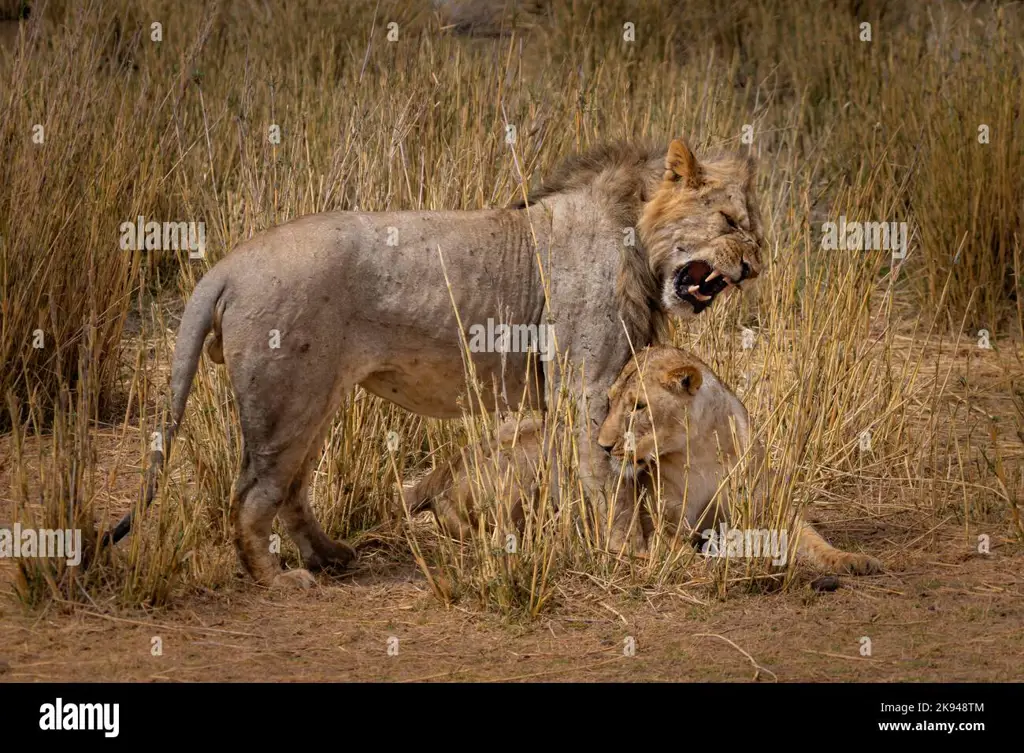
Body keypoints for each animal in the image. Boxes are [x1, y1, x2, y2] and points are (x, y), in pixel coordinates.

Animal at [112, 138, 765, 590]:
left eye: (753, 229)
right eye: (730, 223)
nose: (755, 267)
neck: (636, 233)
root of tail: (227, 266)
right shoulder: (587, 382)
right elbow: (609, 477)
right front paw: (628, 553)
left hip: (315, 399)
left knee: (292, 490)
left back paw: (330, 556)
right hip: (284, 403)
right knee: (251, 494)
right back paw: (277, 580)